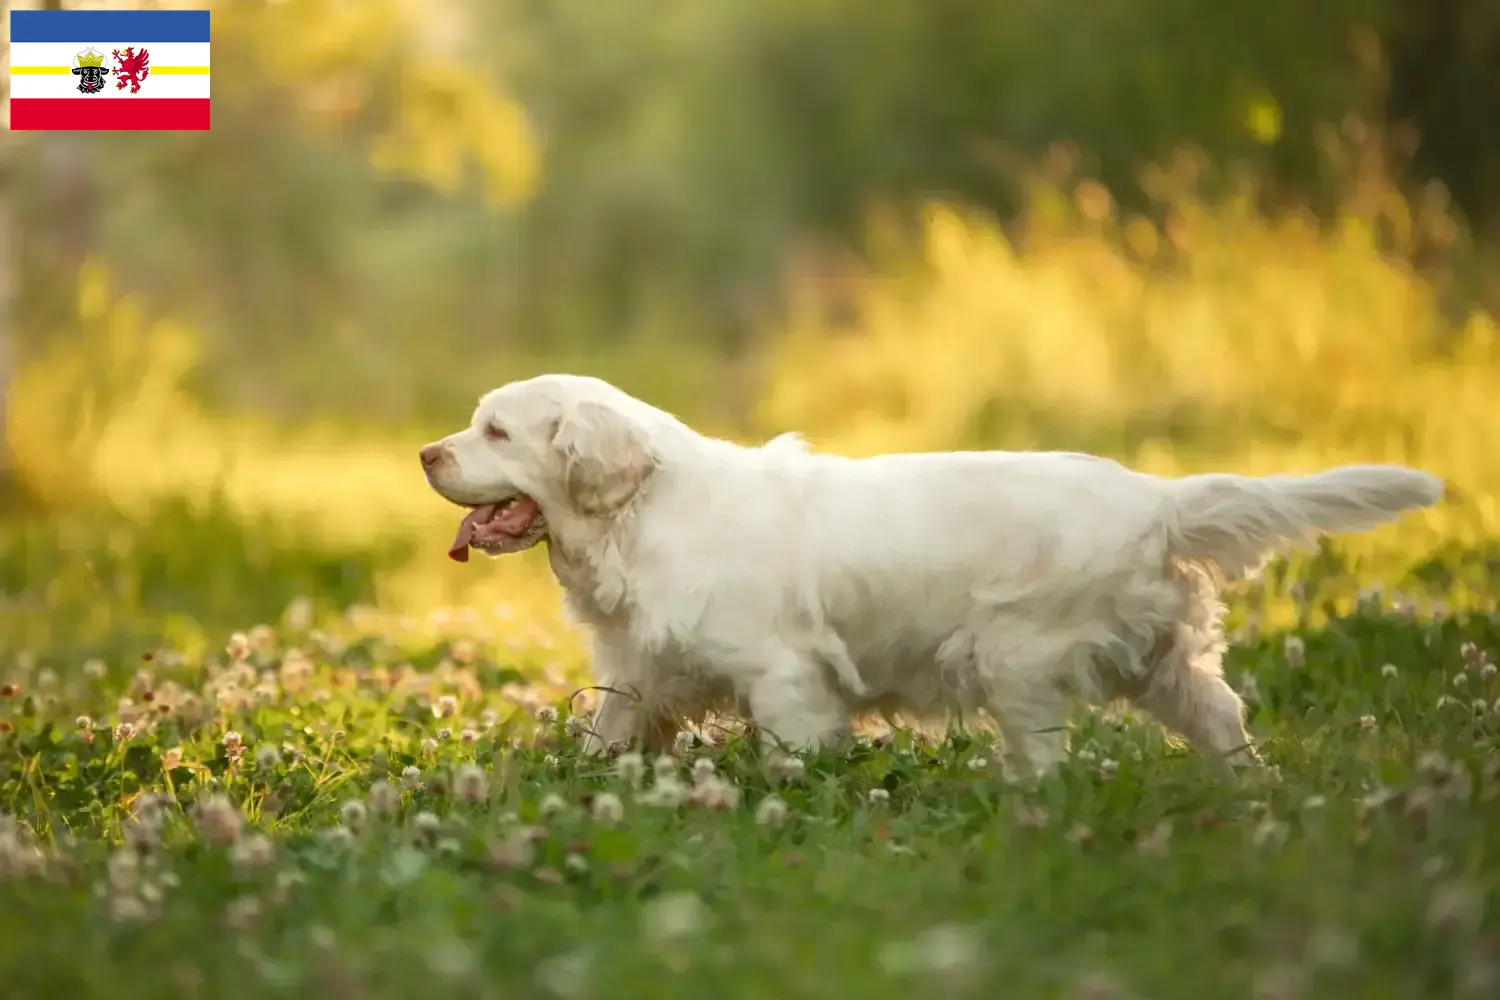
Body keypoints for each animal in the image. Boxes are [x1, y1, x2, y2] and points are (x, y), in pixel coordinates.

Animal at [420, 374, 1440, 773]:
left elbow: (797, 753)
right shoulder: (638, 675)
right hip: (1161, 662)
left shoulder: (785, 678)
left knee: (1048, 760)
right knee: (1223, 718)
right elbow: (606, 737)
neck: (639, 517)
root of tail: (1153, 498)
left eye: (496, 431)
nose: (426, 453)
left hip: (1020, 660)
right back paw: (1252, 791)